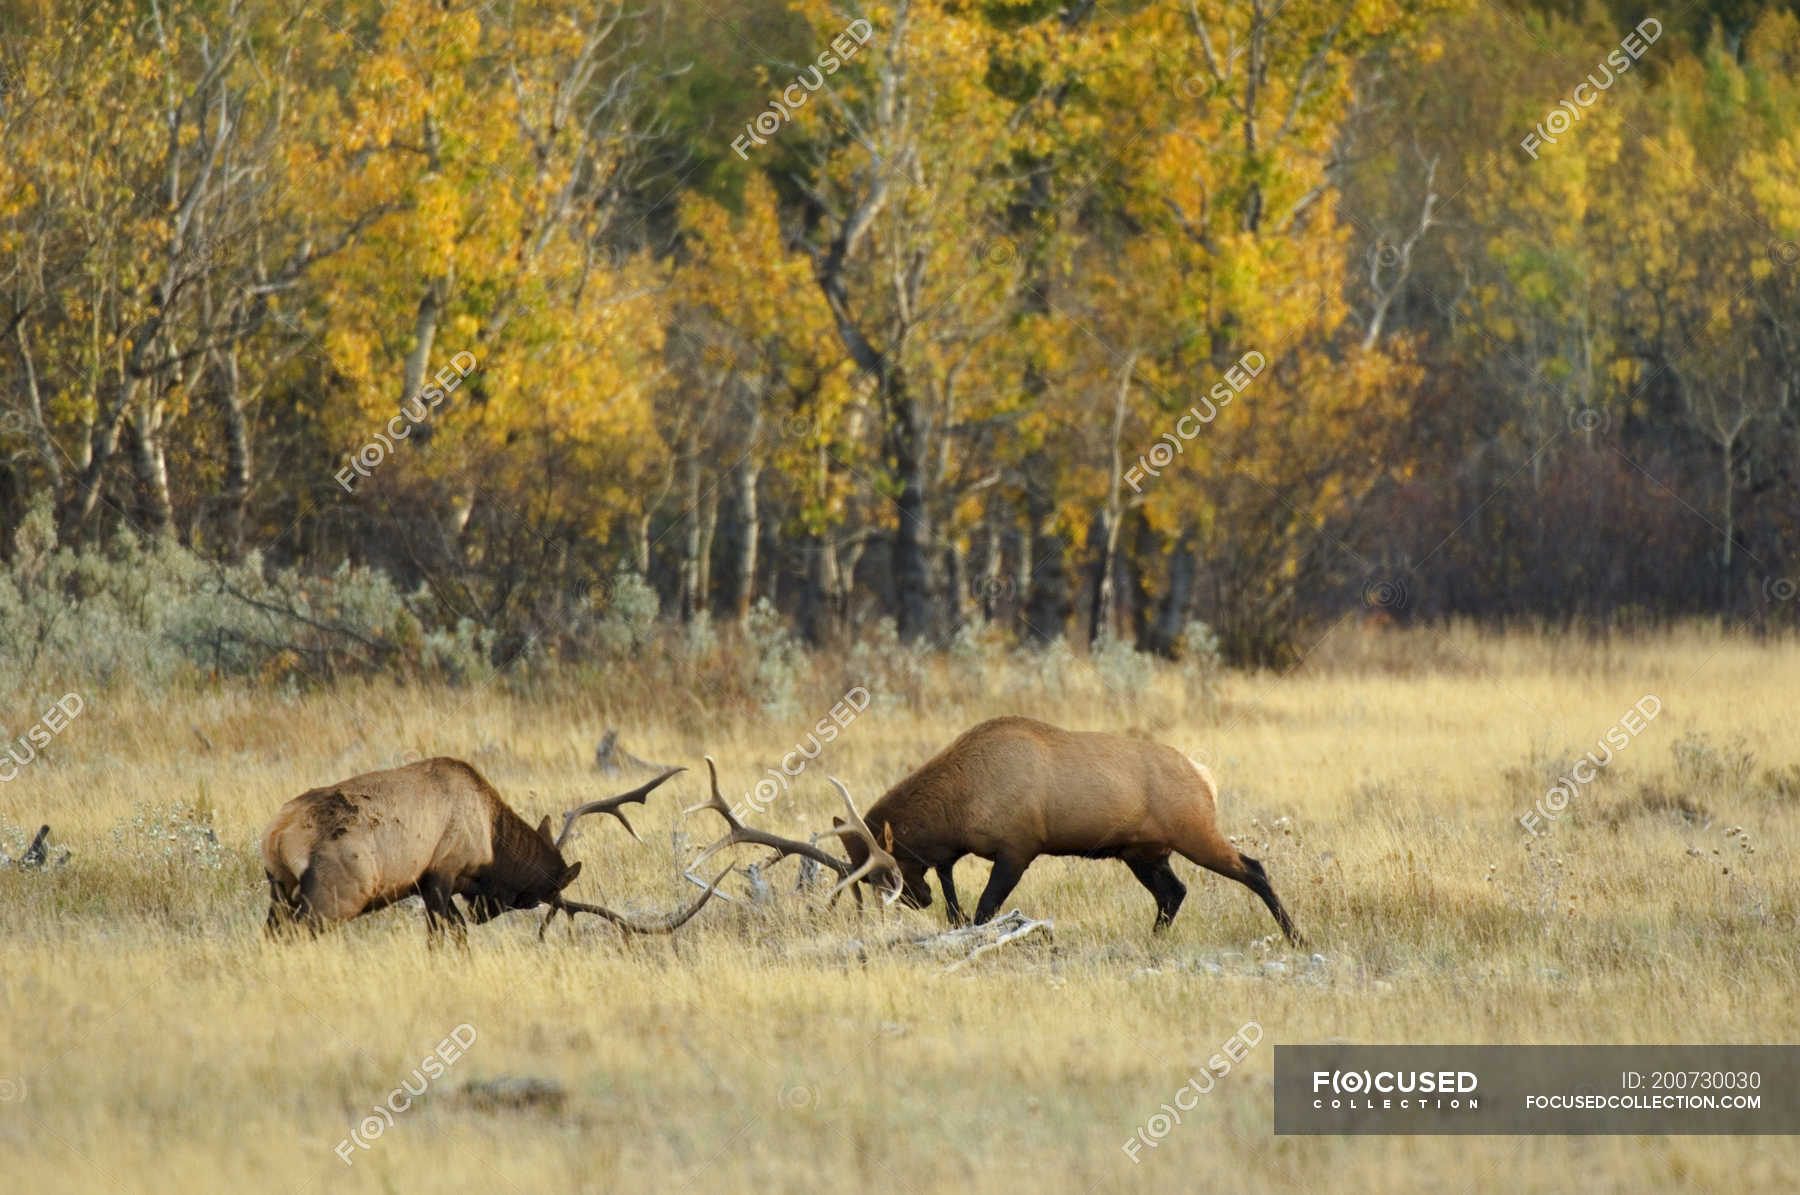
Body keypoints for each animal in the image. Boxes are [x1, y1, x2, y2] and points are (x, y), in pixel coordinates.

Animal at [262, 755, 723, 943]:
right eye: (536, 897)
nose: (486, 912)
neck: (489, 839)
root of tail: (276, 834)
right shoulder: (440, 874)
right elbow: (452, 935)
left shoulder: (430, 886)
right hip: (333, 896)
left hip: (278, 893)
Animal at [813, 719, 1296, 943]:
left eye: (885, 871)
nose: (916, 899)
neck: (958, 809)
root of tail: (1205, 777)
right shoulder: (955, 855)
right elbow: (955, 904)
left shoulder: (1019, 847)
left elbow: (984, 908)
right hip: (1142, 852)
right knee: (1173, 892)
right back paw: (1153, 939)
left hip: (1194, 833)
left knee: (1253, 869)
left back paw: (1295, 935)